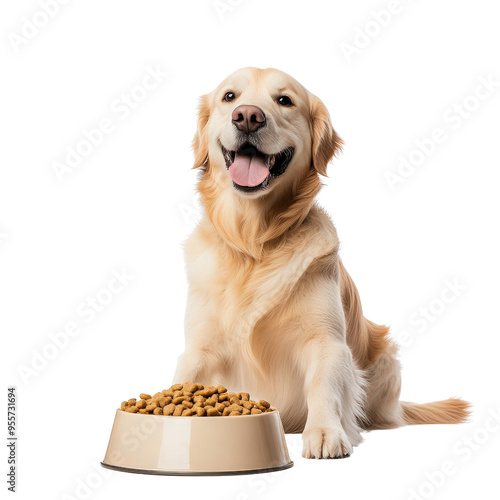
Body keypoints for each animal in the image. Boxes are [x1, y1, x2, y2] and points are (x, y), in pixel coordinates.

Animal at [174, 68, 470, 458]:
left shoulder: (326, 340)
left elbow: (323, 385)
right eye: (229, 97)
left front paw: (326, 432)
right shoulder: (200, 345)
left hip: (385, 357)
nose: (248, 116)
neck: (255, 244)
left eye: (284, 100)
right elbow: (183, 377)